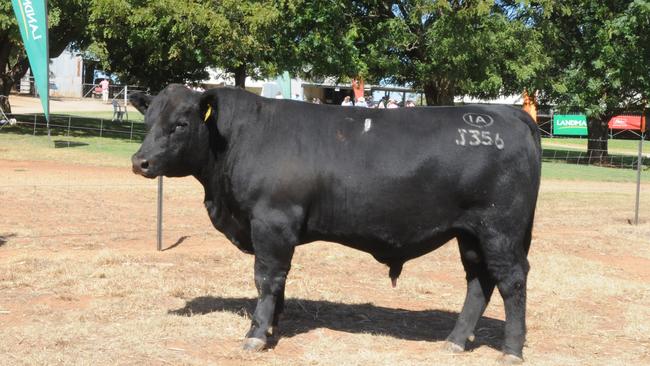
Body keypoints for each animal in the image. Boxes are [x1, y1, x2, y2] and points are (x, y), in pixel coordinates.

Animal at [129, 85, 540, 364]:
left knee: (512, 281)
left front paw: (257, 334)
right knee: (478, 281)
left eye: (180, 124)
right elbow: (279, 282)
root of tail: (508, 115)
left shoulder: (271, 222)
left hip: (499, 230)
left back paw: (511, 350)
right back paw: (454, 340)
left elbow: (267, 279)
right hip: (470, 234)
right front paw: (273, 325)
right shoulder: (276, 232)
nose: (140, 161)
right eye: (148, 121)